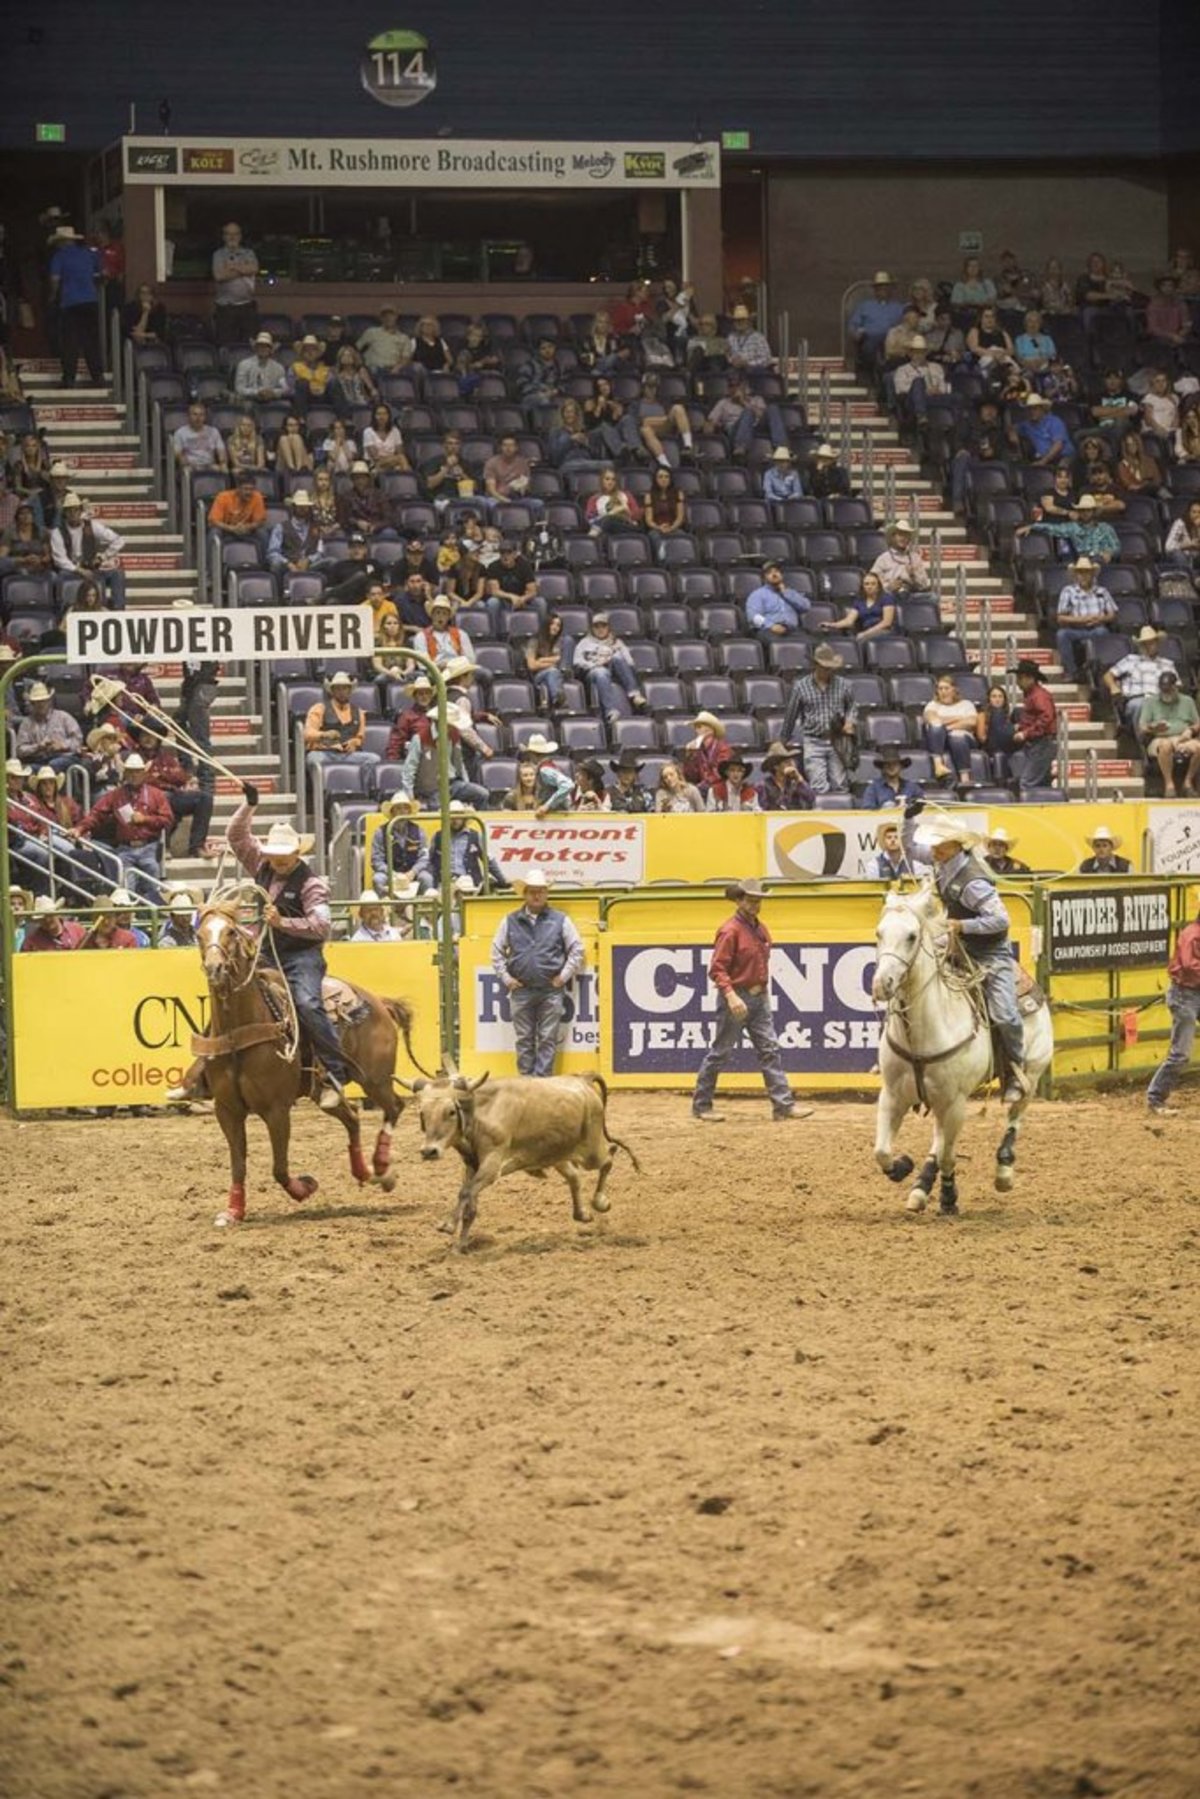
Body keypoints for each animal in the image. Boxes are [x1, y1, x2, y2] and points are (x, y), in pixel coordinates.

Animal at [407, 1071, 640, 1250]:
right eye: (423, 1113)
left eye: (451, 1111)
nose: (429, 1151)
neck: (482, 1111)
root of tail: (583, 1079)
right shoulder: (472, 1165)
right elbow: (469, 1201)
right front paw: (462, 1245)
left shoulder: (492, 1165)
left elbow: (465, 1192)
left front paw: (447, 1225)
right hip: (558, 1154)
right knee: (575, 1176)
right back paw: (582, 1214)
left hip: (590, 1150)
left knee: (609, 1155)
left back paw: (600, 1201)